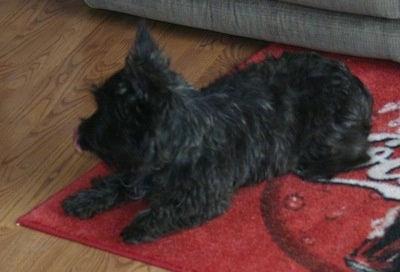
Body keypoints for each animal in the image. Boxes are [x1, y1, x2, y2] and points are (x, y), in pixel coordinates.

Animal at [61, 22, 372, 244]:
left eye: (108, 111)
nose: (81, 133)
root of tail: (355, 81)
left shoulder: (206, 197)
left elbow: (170, 207)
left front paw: (140, 225)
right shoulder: (137, 170)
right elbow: (117, 181)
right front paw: (85, 199)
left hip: (324, 138)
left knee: (360, 154)